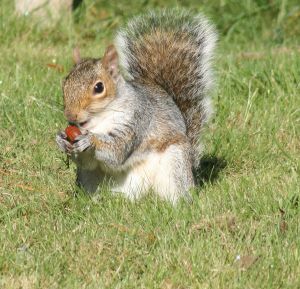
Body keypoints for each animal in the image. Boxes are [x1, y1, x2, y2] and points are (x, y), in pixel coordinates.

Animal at [55, 8, 216, 202]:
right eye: (66, 82)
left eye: (99, 87)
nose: (71, 115)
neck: (99, 121)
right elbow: (88, 161)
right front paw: (61, 139)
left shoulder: (136, 119)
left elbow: (117, 150)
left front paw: (90, 140)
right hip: (88, 179)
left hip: (174, 163)